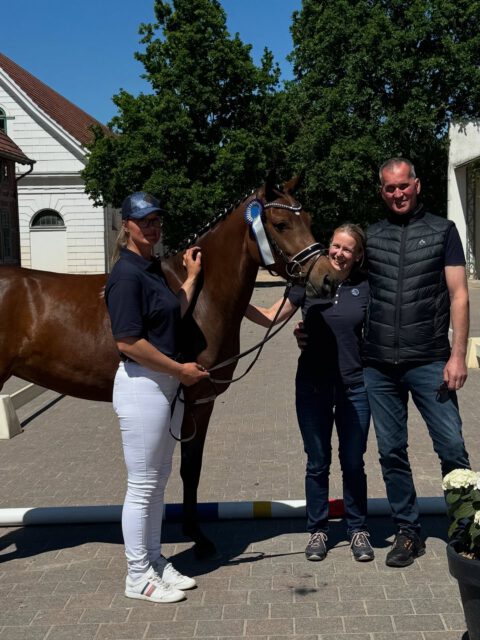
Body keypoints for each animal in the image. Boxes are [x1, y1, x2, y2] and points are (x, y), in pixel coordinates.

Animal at [0, 173, 340, 557]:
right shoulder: (196, 399)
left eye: (308, 219)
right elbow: (190, 468)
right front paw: (198, 537)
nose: (328, 278)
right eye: (281, 224)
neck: (201, 299)